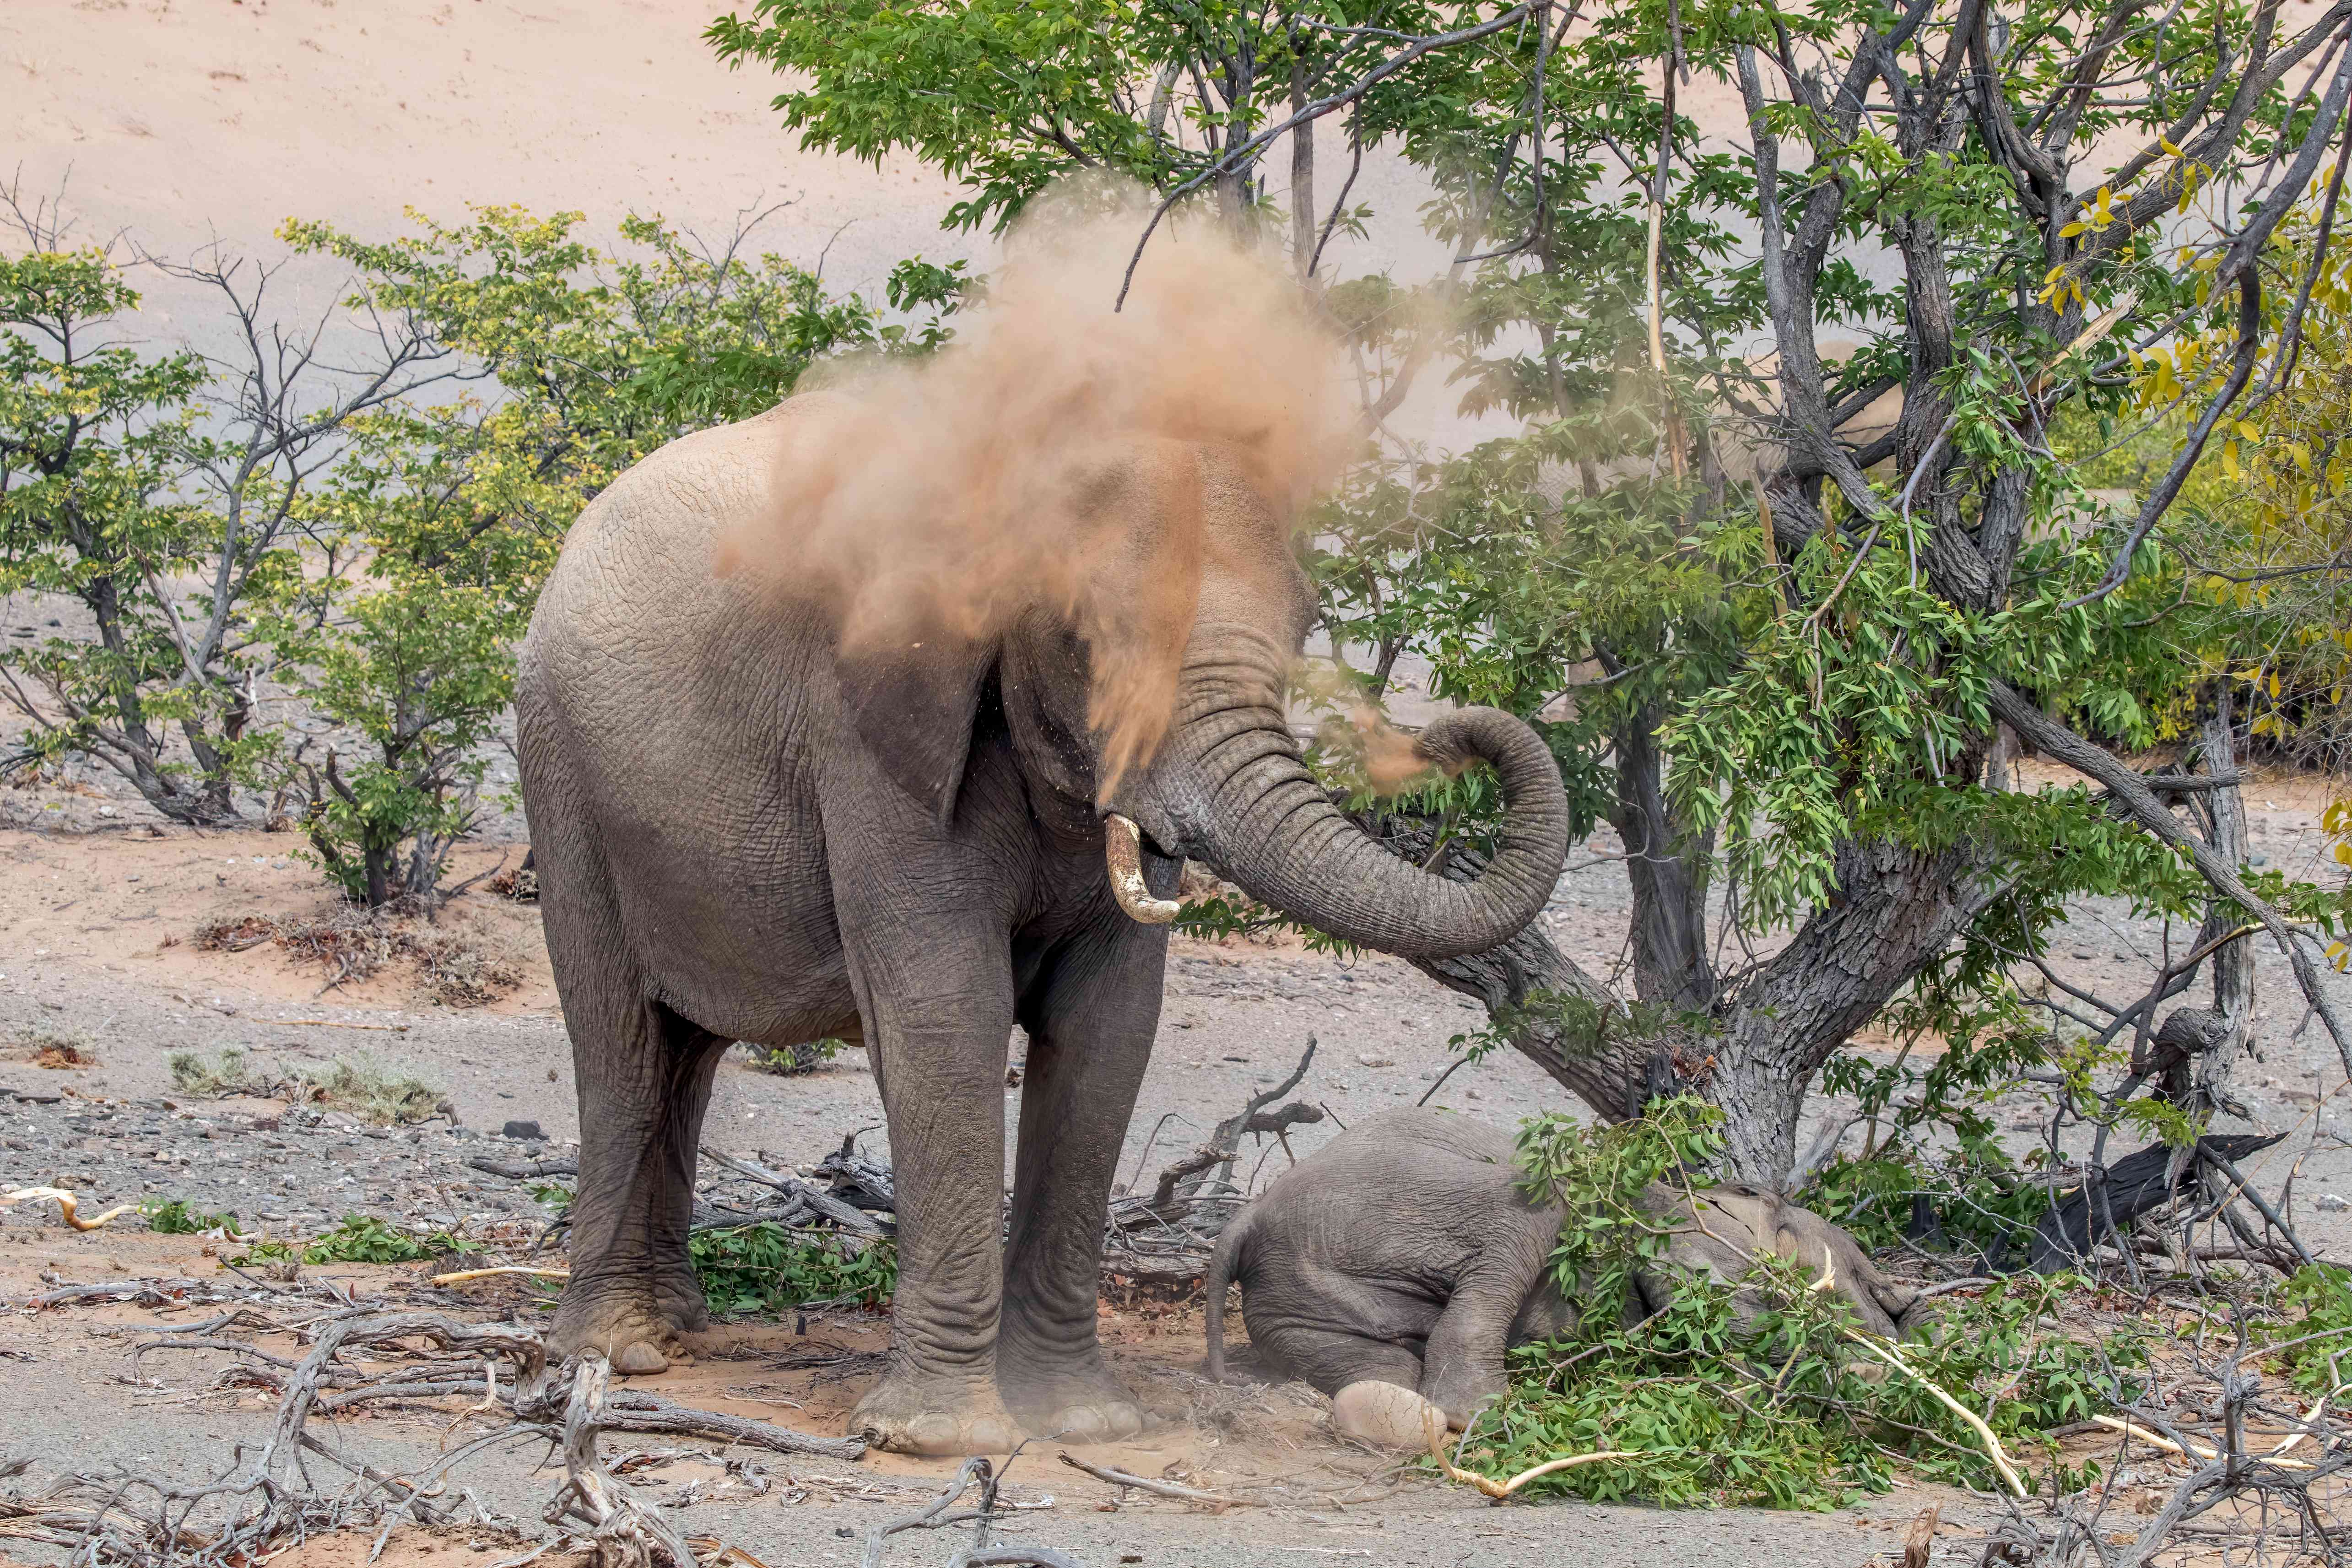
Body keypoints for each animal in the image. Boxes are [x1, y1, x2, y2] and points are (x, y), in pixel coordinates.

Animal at [514, 392, 1571, 1455]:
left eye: (1305, 623)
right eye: (1088, 639)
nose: (1448, 733)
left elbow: (1108, 1026)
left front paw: (1081, 1420)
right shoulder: (867, 732)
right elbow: (949, 1012)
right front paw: (941, 1439)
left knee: (685, 1056)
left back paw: (679, 1327)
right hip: (558, 768)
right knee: (624, 1047)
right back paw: (617, 1349)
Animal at [1204, 1107, 1921, 1449]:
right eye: (1860, 1277)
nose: (1895, 1323)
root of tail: (1248, 1218)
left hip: (1291, 1309)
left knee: (1384, 1366)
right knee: (1521, 1219)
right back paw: (1492, 1412)